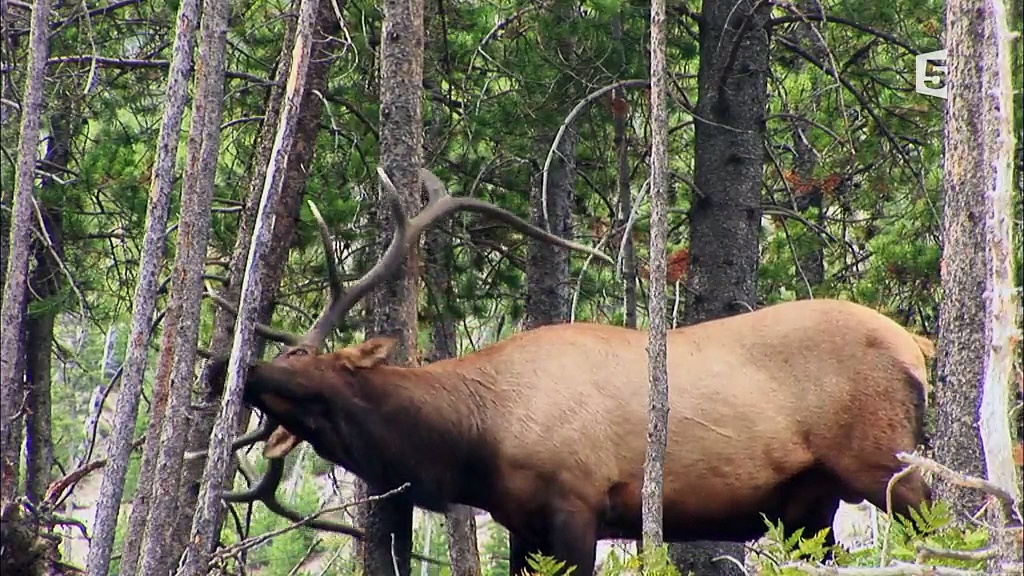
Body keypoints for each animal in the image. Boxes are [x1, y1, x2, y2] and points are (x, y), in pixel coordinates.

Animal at [203, 168, 933, 569]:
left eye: (308, 366)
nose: (220, 367)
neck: (475, 445)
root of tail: (916, 346)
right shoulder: (522, 525)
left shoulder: (577, 504)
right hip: (812, 504)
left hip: (883, 463)